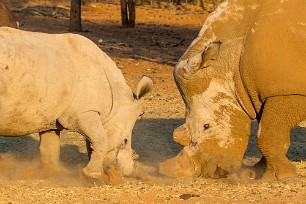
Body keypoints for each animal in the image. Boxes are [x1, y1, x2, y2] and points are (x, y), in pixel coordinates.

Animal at [0, 26, 153, 182]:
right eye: (125, 141)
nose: (125, 171)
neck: (116, 99)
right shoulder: (83, 113)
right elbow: (100, 139)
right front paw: (93, 176)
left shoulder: (50, 114)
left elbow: (50, 148)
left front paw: (54, 174)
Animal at [160, 0, 306, 181]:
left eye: (206, 126)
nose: (215, 173)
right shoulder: (258, 93)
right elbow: (270, 131)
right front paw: (258, 172)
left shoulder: (287, 91)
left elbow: (267, 135)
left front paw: (284, 176)